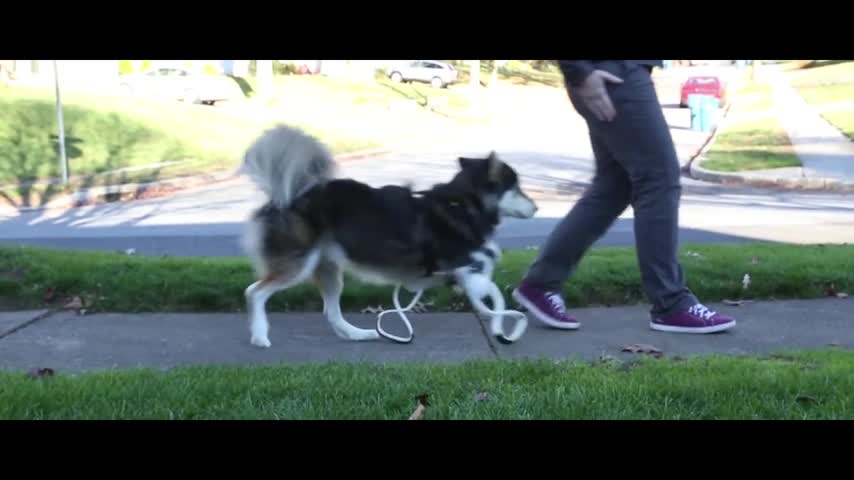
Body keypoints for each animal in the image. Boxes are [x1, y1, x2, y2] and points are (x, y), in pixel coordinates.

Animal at [237, 125, 540, 346]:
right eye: (516, 188)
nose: (537, 207)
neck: (463, 205)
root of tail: (287, 197)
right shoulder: (467, 271)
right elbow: (495, 294)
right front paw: (502, 324)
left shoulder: (470, 274)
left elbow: (491, 294)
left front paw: (498, 322)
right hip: (298, 264)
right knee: (254, 292)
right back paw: (260, 335)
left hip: (329, 268)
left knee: (331, 312)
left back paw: (357, 334)